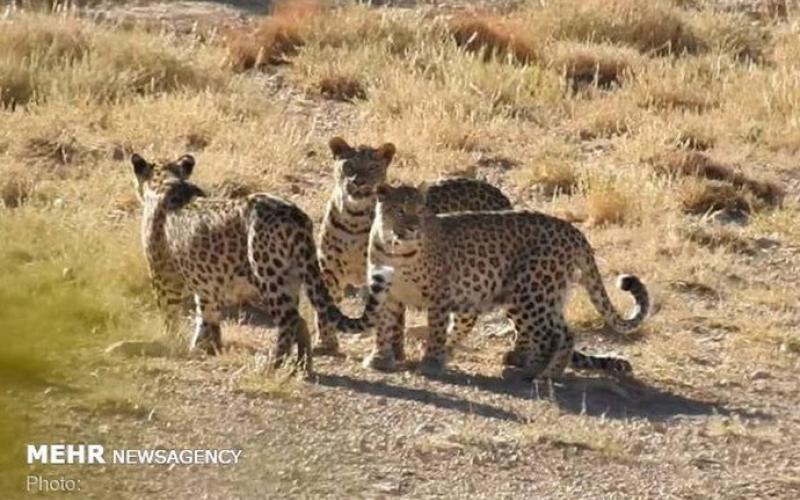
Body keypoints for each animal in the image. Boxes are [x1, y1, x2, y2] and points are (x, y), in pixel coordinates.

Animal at [316, 136, 510, 356]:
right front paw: (326, 343)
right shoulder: (330, 272)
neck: (353, 220)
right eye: (348, 166)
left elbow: (391, 320)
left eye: (373, 167)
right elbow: (325, 308)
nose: (359, 181)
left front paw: (391, 352)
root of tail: (497, 192)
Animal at [366, 184, 648, 378]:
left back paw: (541, 374)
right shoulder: (387, 292)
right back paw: (524, 362)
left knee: (559, 334)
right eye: (400, 210)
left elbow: (435, 330)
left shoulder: (439, 295)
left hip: (531, 290)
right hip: (537, 295)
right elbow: (384, 325)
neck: (396, 249)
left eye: (420, 210)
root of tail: (573, 230)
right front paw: (380, 357)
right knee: (545, 332)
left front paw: (431, 363)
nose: (413, 227)